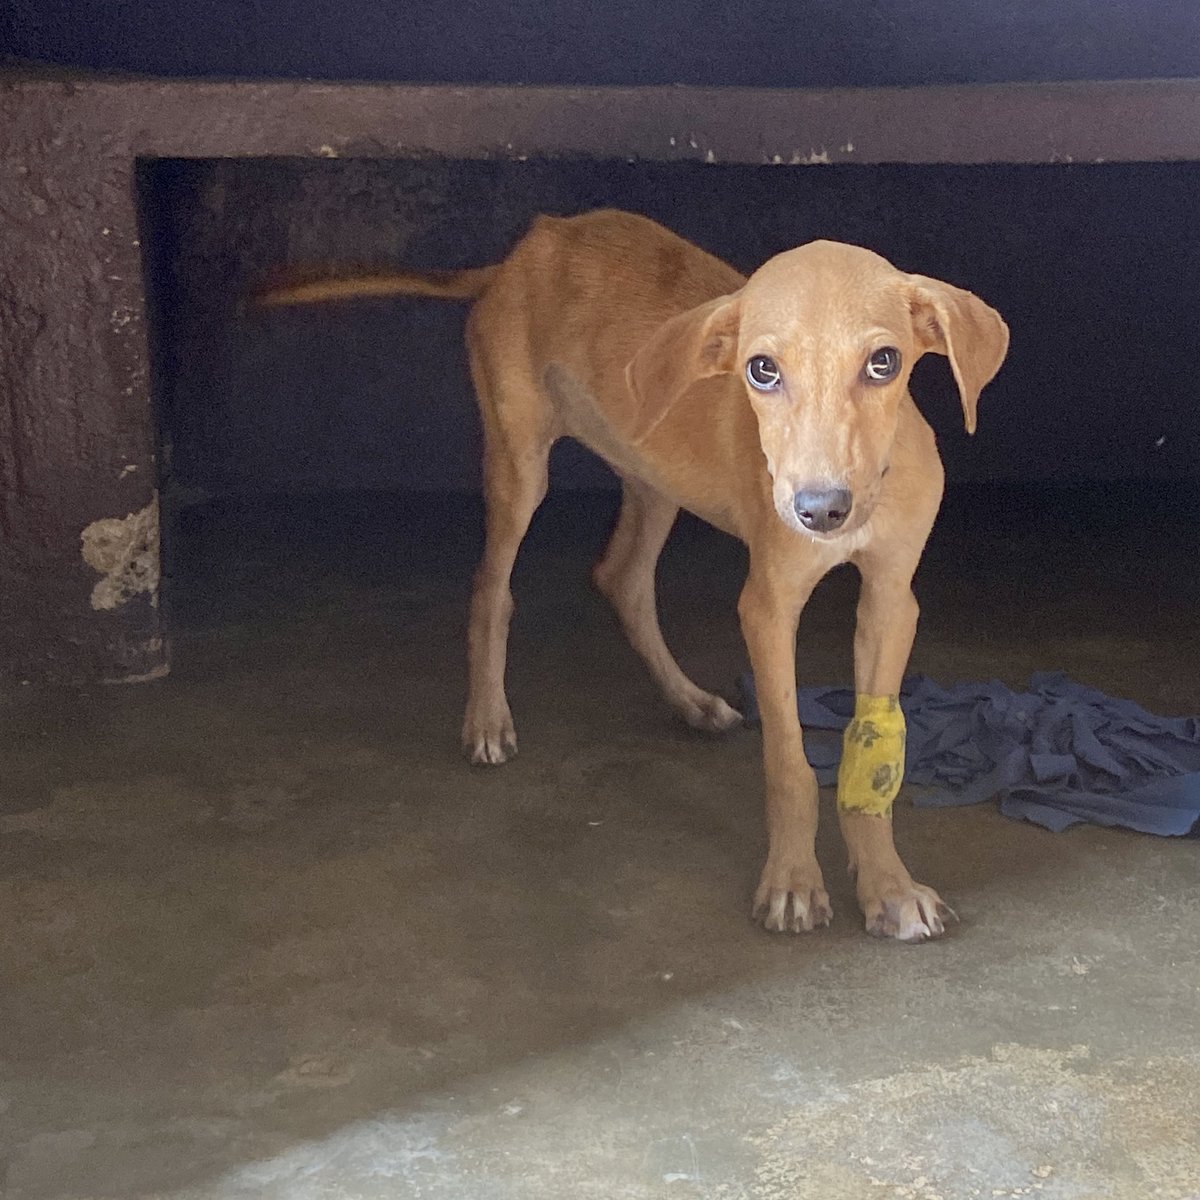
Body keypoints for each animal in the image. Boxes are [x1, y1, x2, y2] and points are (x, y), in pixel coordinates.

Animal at [260, 213, 1003, 945]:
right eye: (762, 370)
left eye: (884, 362)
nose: (819, 510)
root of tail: (527, 248)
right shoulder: (768, 606)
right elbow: (789, 761)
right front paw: (792, 883)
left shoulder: (891, 601)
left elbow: (871, 752)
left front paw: (888, 889)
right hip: (519, 463)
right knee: (492, 591)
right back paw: (488, 719)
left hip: (652, 476)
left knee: (621, 579)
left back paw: (690, 702)